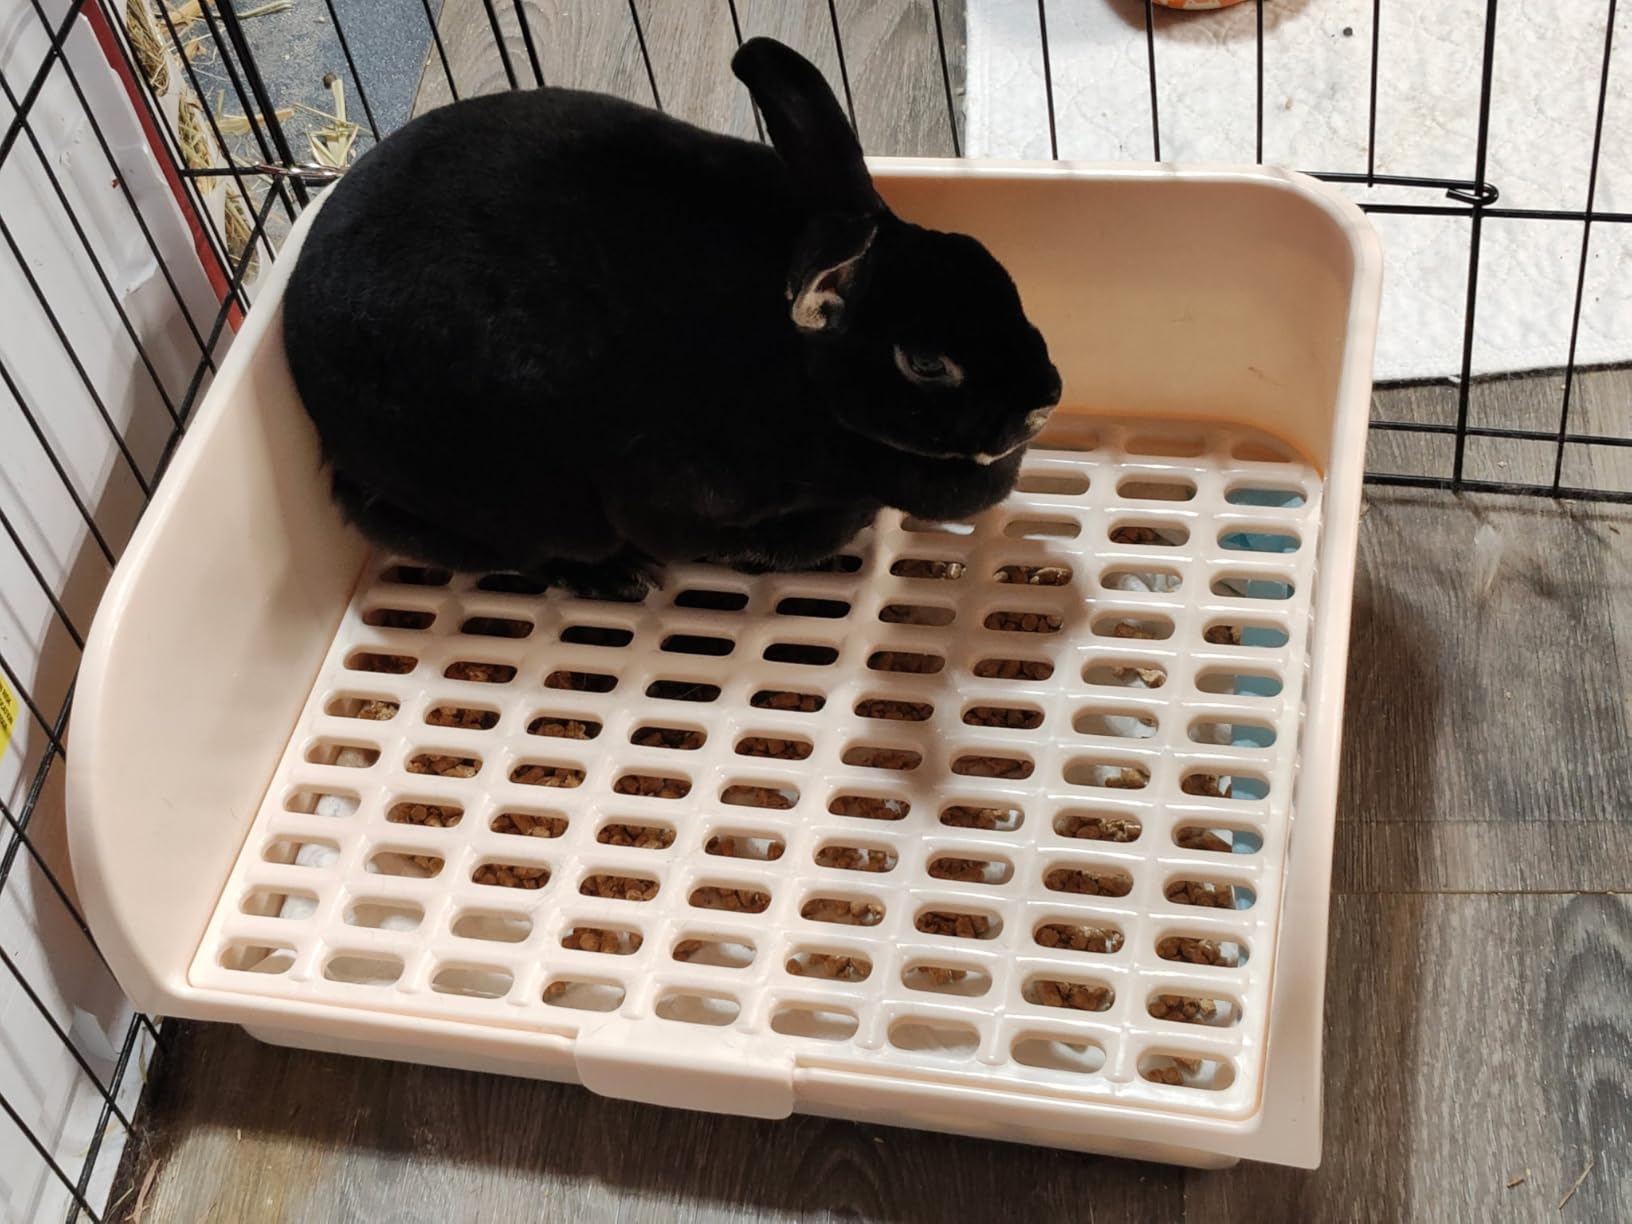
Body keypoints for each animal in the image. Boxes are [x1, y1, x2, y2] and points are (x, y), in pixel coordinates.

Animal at [281, 37, 1062, 600]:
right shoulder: (674, 496)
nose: (1044, 401)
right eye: (926, 363)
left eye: (992, 268)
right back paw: (613, 578)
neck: (807, 380)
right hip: (507, 499)